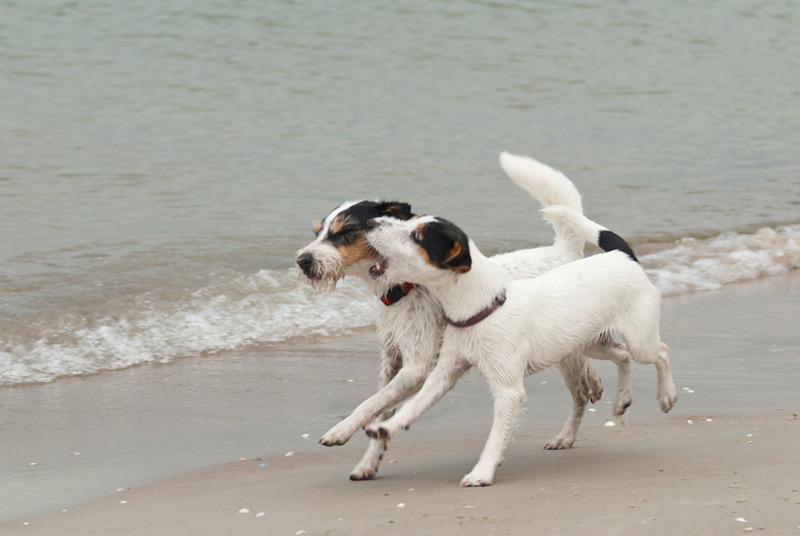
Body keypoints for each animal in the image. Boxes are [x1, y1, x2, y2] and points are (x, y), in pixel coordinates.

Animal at [296, 154, 640, 482]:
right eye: (319, 232)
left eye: (346, 232)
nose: (302, 260)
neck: (407, 288)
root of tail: (562, 252)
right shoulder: (393, 362)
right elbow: (380, 411)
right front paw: (368, 463)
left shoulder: (417, 367)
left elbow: (369, 403)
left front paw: (340, 430)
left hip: (567, 348)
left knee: (581, 390)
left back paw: (569, 430)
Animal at [366, 207, 680, 488]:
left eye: (416, 236)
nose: (371, 221)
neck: (482, 305)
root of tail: (622, 256)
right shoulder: (443, 375)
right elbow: (412, 406)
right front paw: (385, 427)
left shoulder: (508, 391)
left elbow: (495, 437)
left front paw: (482, 473)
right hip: (589, 344)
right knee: (622, 356)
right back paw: (621, 399)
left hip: (639, 340)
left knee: (661, 352)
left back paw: (666, 396)